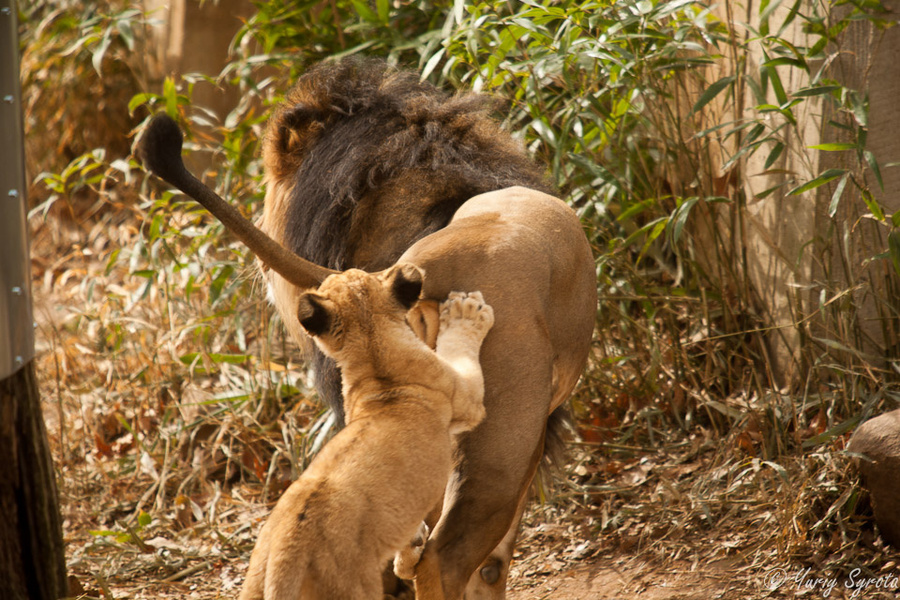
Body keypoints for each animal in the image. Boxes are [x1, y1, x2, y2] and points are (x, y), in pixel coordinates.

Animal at [239, 264, 492, 600]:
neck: (373, 351)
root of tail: (287, 549)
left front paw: (410, 554)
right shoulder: (465, 398)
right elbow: (460, 346)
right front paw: (467, 311)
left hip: (253, 583)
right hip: (352, 587)